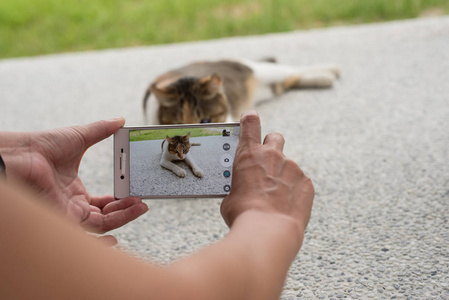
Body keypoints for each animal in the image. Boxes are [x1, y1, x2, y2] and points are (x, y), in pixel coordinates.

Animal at [144, 58, 340, 125]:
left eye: (205, 120)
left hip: (261, 70)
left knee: (290, 69)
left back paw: (332, 69)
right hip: (268, 90)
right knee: (288, 81)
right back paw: (325, 79)